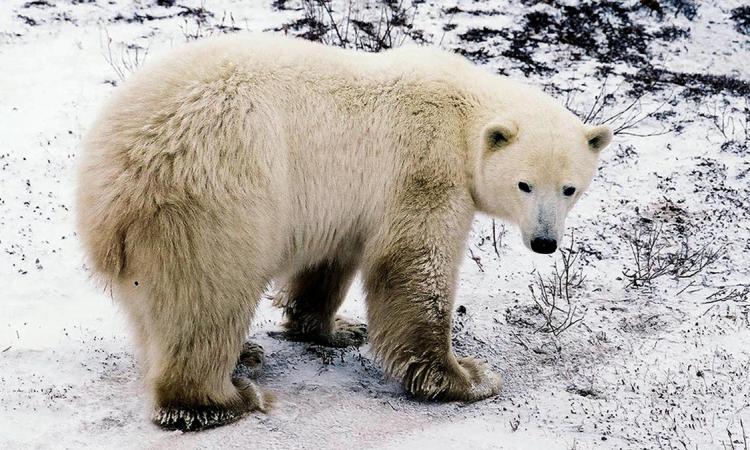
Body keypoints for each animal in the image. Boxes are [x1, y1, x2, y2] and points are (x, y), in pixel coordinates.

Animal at [76, 33, 612, 431]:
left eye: (570, 188)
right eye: (524, 184)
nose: (544, 242)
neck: (463, 115)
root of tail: (112, 185)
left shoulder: (346, 203)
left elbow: (329, 263)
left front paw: (336, 328)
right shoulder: (423, 168)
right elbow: (415, 266)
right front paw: (467, 377)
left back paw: (243, 355)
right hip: (217, 197)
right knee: (206, 296)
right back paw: (223, 398)